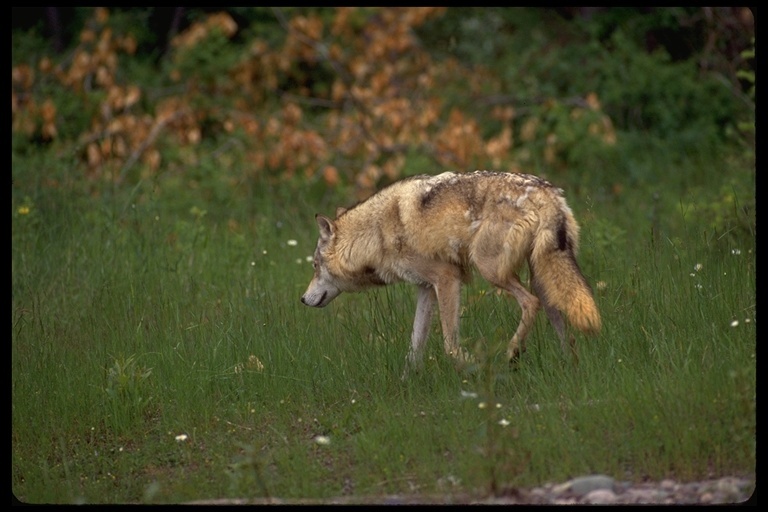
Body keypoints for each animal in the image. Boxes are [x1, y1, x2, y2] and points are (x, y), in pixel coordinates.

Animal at [300, 170, 600, 374]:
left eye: (314, 266)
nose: (302, 299)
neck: (377, 234)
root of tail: (547, 193)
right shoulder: (425, 289)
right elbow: (414, 348)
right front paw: (405, 384)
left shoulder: (447, 278)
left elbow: (450, 345)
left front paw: (476, 367)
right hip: (541, 278)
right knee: (563, 326)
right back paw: (568, 366)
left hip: (492, 272)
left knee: (530, 303)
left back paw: (511, 353)